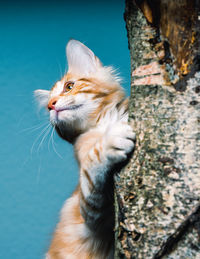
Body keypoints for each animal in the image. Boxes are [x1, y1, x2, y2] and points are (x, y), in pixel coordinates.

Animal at [34, 40, 136, 259]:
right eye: (47, 107)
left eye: (69, 86)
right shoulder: (94, 216)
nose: (51, 105)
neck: (105, 121)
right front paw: (111, 141)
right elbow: (93, 162)